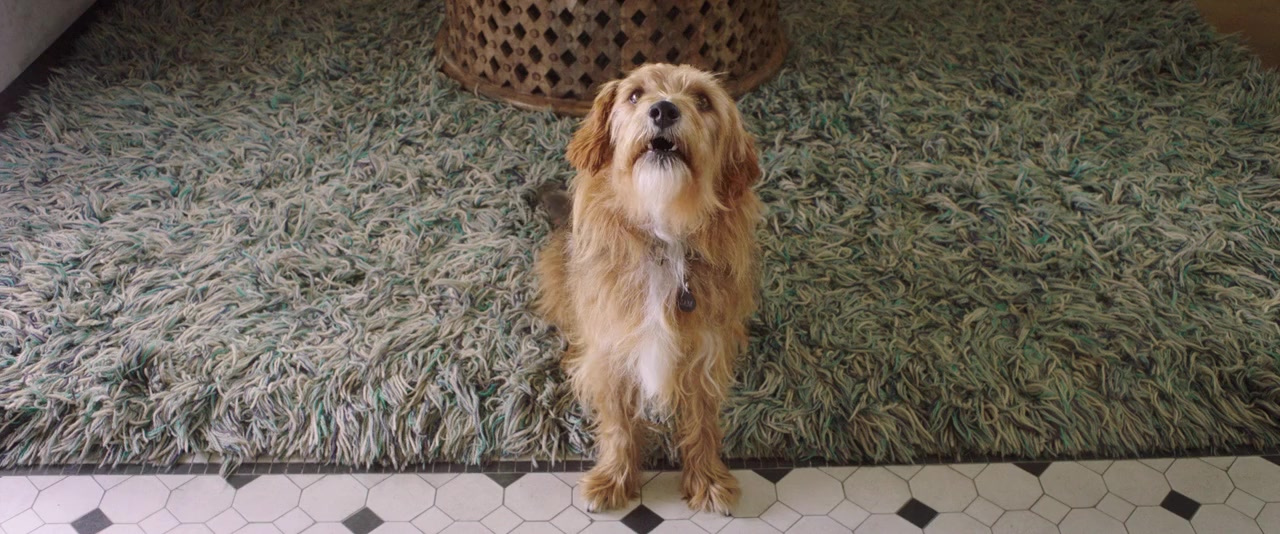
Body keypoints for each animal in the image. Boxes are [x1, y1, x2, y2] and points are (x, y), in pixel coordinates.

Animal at [535, 63, 762, 515]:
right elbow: (618, 424)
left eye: (703, 101)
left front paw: (707, 479)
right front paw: (614, 478)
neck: (663, 235)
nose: (664, 110)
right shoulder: (611, 351)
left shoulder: (705, 353)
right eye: (636, 95)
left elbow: (703, 421)